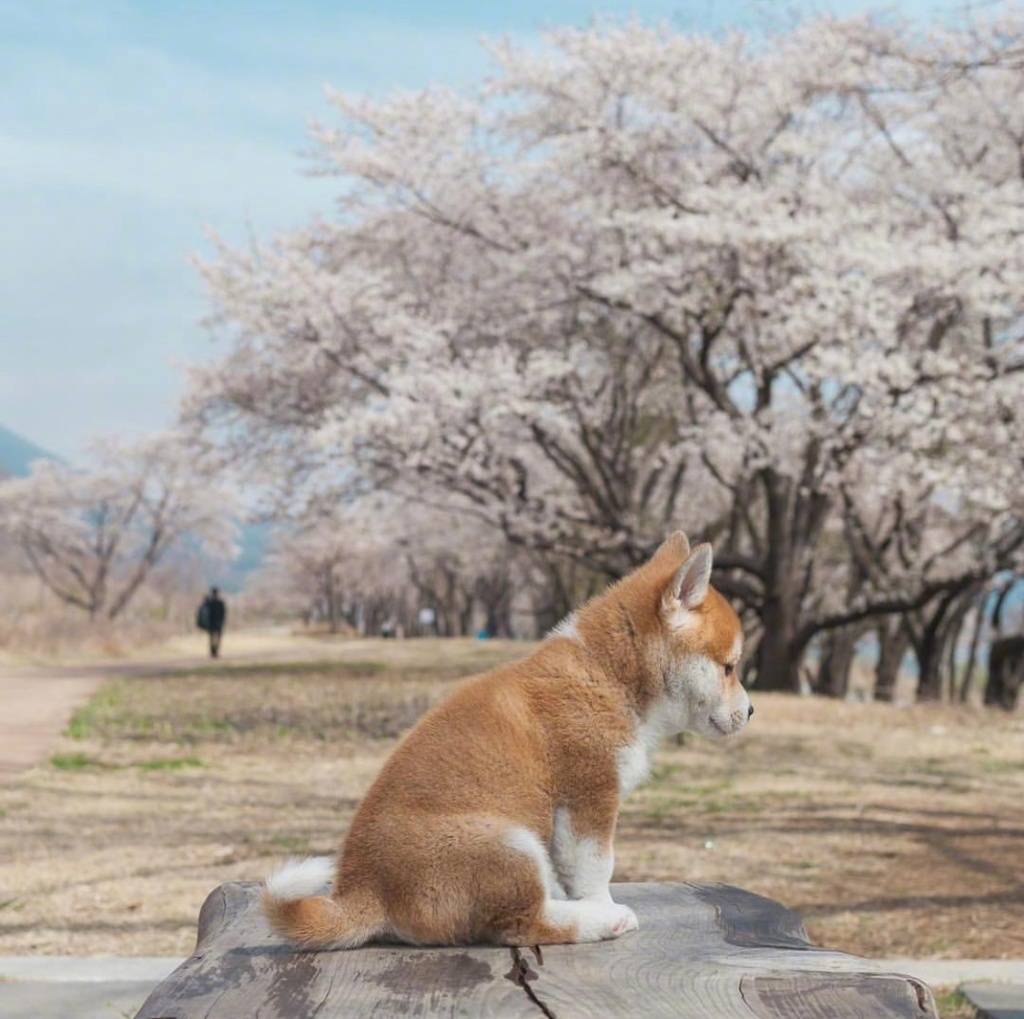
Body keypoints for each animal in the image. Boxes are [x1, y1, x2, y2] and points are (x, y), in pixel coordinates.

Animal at [262, 532, 753, 946]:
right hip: (507, 843)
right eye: (729, 667)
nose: (751, 711)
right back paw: (600, 920)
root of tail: (363, 892)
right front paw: (603, 904)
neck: (607, 675)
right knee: (522, 924)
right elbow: (597, 868)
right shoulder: (590, 799)